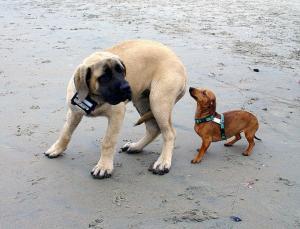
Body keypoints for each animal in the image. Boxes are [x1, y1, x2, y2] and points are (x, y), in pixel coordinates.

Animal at [44, 39, 186, 179]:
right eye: (104, 77)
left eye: (122, 71)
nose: (127, 87)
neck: (95, 98)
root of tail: (180, 64)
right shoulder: (74, 112)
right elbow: (65, 132)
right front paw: (57, 149)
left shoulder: (117, 115)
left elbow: (108, 142)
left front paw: (103, 166)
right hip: (142, 101)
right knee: (153, 128)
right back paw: (136, 147)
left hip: (159, 102)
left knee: (169, 133)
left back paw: (163, 162)